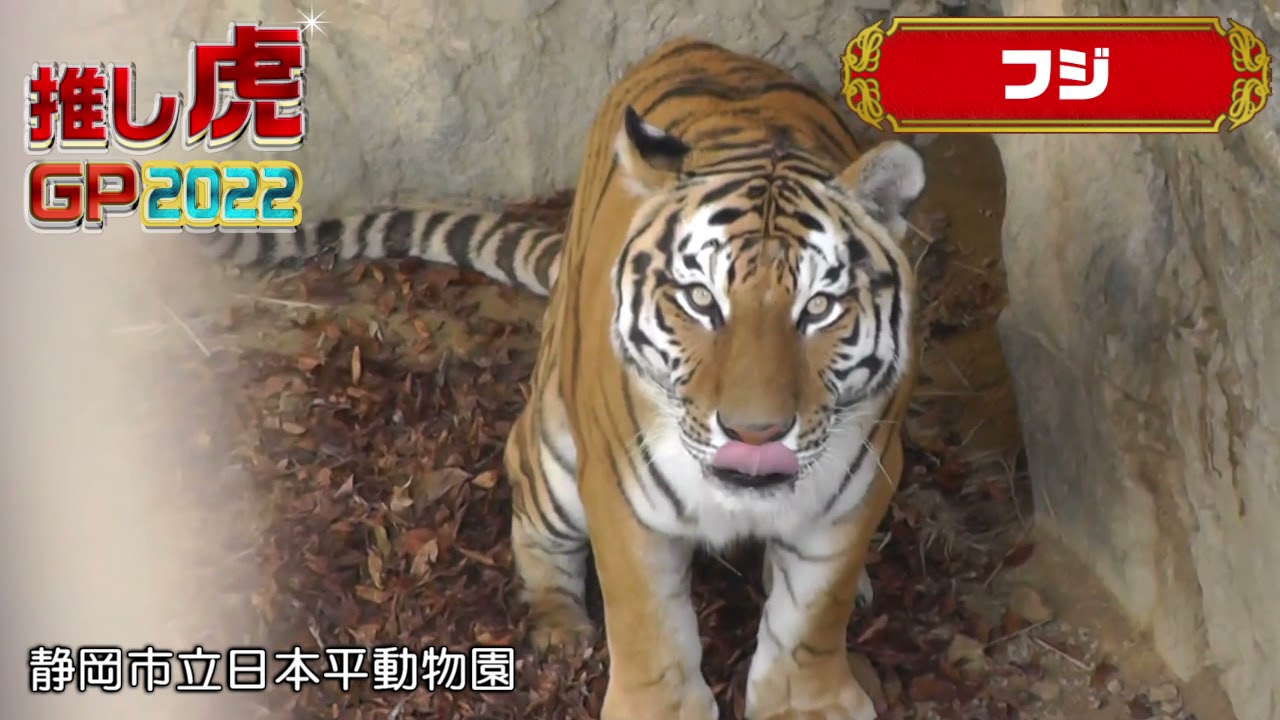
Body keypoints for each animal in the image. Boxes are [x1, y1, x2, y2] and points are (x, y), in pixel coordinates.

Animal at [202, 37, 925, 720]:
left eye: (820, 307)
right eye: (700, 299)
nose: (756, 433)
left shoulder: (858, 487)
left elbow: (811, 618)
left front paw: (807, 702)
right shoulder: (622, 492)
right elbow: (648, 623)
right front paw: (657, 708)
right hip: (552, 450)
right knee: (533, 531)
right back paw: (560, 631)